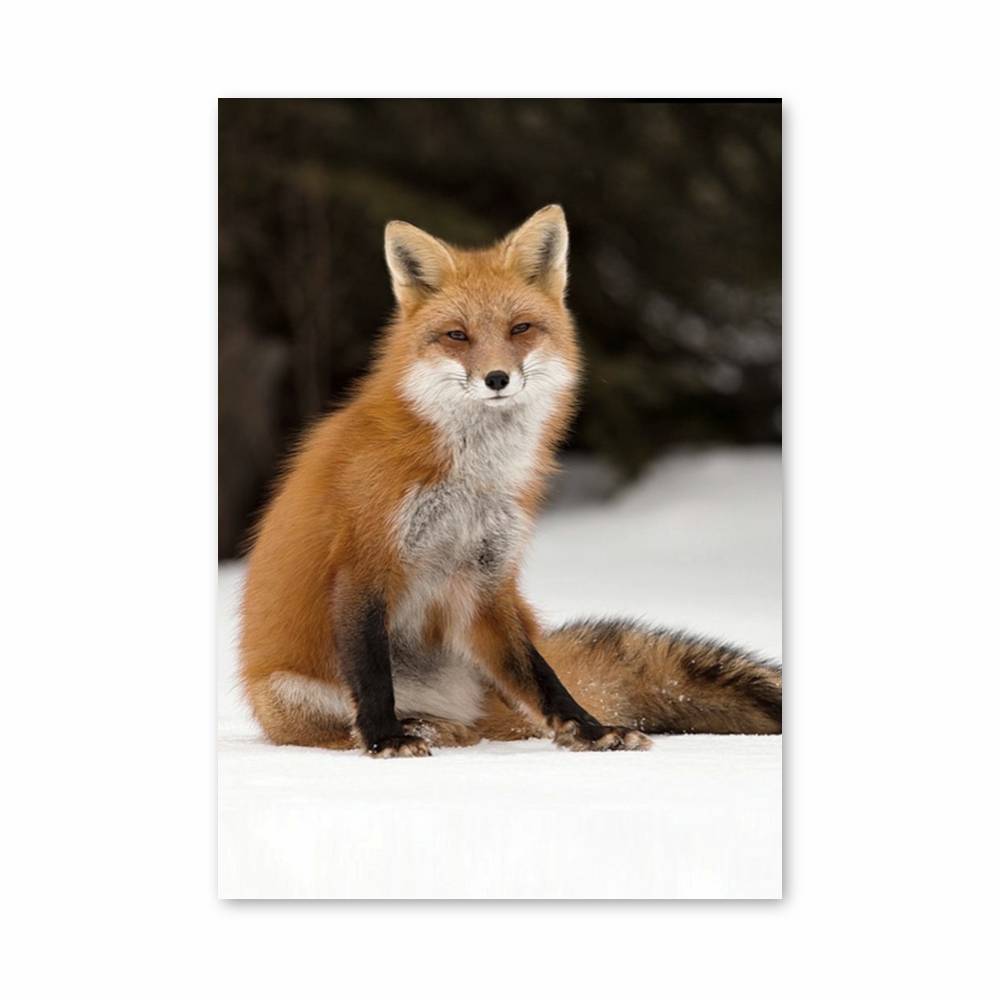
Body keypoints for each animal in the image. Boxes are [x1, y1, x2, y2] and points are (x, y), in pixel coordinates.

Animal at [239, 204, 781, 757]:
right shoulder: (364, 562)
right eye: (457, 335)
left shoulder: (486, 579)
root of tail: (457, 707)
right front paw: (385, 738)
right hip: (290, 694)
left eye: (520, 328)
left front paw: (589, 729)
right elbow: (371, 675)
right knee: (350, 725)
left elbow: (540, 676)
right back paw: (420, 728)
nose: (496, 378)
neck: (470, 480)